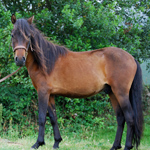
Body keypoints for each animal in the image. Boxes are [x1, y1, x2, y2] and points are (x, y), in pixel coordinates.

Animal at [10, 14, 143, 150]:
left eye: (28, 36)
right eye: (12, 35)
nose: (19, 59)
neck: (45, 62)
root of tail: (131, 58)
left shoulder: (43, 93)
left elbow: (42, 117)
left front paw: (38, 143)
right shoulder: (50, 94)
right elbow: (53, 117)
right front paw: (57, 142)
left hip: (121, 93)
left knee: (130, 117)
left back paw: (127, 146)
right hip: (112, 93)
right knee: (120, 118)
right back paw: (115, 146)